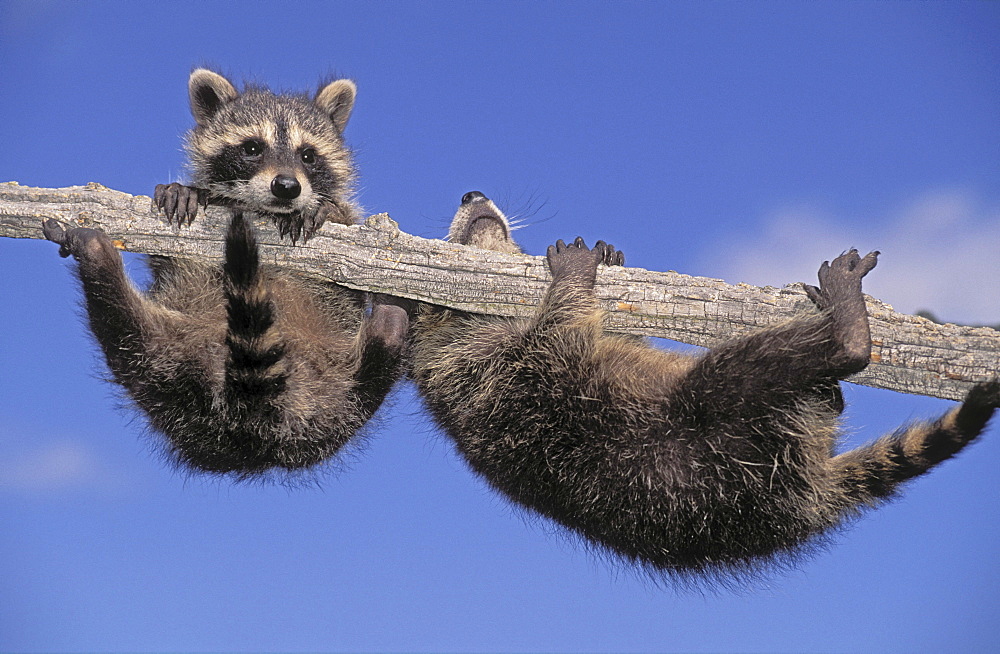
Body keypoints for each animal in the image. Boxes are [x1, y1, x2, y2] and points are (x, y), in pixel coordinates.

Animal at [408, 192, 1000, 580]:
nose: (470, 193)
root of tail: (804, 496)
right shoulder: (495, 372)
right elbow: (559, 328)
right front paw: (572, 283)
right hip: (730, 435)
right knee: (734, 373)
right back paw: (845, 334)